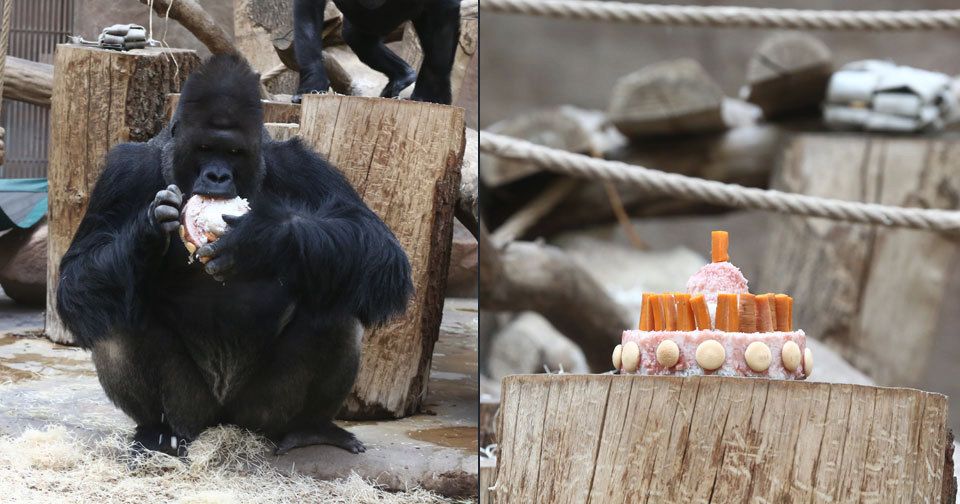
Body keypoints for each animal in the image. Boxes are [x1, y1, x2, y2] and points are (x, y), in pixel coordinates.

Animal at [54, 54, 410, 456]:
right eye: (206, 149)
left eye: (234, 153)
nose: (218, 177)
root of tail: (222, 423)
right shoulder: (122, 171)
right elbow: (77, 278)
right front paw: (146, 234)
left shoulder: (303, 164)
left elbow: (378, 247)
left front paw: (263, 239)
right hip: (191, 411)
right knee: (109, 307)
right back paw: (156, 430)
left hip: (259, 414)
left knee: (337, 299)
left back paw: (310, 427)